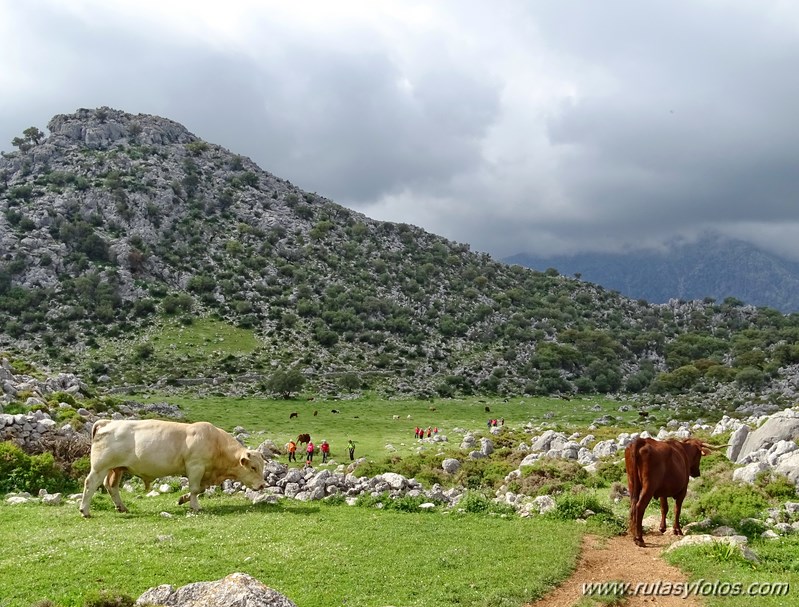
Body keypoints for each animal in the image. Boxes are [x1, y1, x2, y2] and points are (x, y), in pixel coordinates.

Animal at [81, 422, 268, 516]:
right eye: (253, 467)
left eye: (262, 466)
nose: (262, 485)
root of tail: (108, 422)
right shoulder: (195, 466)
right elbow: (195, 489)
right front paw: (195, 507)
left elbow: (199, 489)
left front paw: (182, 499)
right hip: (100, 467)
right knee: (91, 484)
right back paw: (85, 511)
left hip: (116, 468)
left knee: (111, 486)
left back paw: (122, 508)